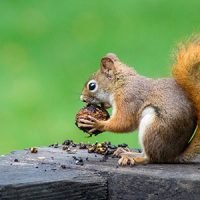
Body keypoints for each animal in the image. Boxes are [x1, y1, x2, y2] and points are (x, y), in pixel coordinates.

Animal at [77, 37, 200, 166]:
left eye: (92, 86)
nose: (82, 98)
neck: (120, 84)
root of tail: (173, 155)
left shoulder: (128, 99)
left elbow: (124, 122)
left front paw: (97, 124)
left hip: (153, 128)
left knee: (150, 158)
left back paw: (132, 157)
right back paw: (123, 151)